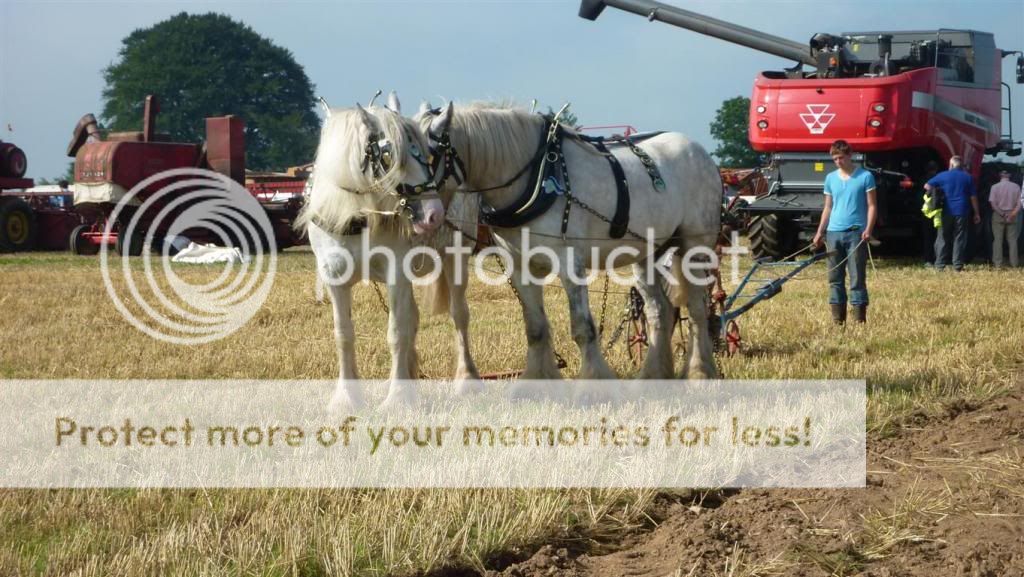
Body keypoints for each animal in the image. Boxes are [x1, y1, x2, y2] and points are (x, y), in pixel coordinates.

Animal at [299, 95, 481, 409]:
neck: (357, 217)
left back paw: (466, 378)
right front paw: (346, 398)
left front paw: (397, 398)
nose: (433, 213)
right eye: (388, 156)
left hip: (455, 257)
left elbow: (396, 332)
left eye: (427, 155)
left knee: (459, 314)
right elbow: (344, 333)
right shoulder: (334, 276)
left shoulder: (396, 272)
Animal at [413, 101, 720, 385]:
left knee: (697, 310)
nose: (419, 215)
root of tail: (700, 151)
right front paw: (537, 380)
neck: (536, 175)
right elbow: (535, 328)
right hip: (647, 253)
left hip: (695, 246)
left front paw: (594, 383)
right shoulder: (520, 265)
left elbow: (583, 328)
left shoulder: (569, 261)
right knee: (660, 311)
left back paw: (700, 372)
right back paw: (653, 376)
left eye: (428, 155)